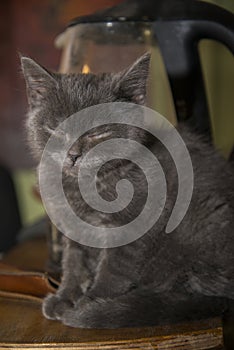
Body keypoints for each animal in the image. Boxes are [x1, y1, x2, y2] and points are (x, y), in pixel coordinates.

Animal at [21, 52, 233, 328]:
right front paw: (65, 296)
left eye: (99, 133)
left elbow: (115, 270)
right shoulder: (73, 228)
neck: (85, 186)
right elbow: (74, 262)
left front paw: (91, 303)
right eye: (58, 129)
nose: (74, 155)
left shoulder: (135, 224)